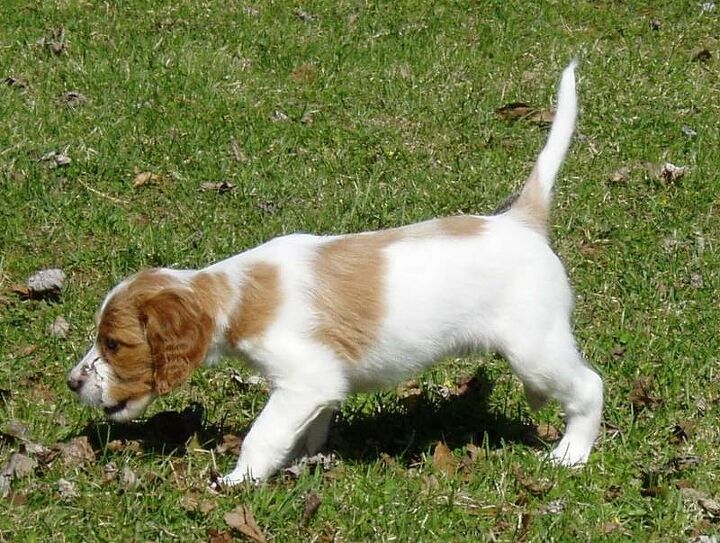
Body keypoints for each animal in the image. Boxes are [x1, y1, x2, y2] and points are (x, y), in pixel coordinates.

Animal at [67, 61, 600, 486]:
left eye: (114, 344)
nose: (72, 383)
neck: (236, 294)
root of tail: (520, 221)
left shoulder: (305, 379)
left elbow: (262, 435)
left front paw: (238, 480)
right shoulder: (321, 387)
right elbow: (310, 428)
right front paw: (307, 460)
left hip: (534, 345)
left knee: (589, 387)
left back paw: (571, 455)